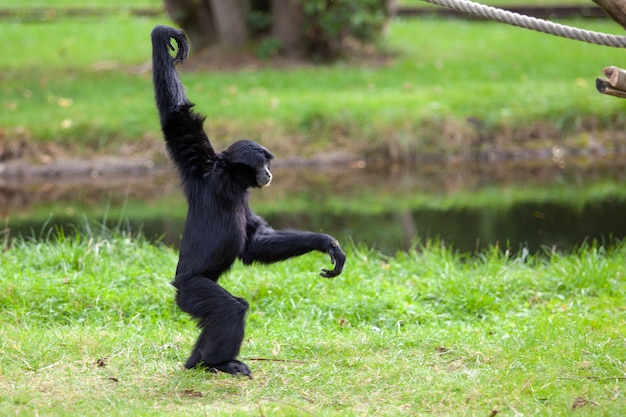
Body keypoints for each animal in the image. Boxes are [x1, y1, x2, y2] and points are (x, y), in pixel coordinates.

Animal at [151, 26, 346, 376]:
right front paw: (164, 36)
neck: (228, 180)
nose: (269, 173)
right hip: (192, 288)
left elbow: (252, 243)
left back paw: (198, 361)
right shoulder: (199, 165)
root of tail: (178, 285)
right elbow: (175, 115)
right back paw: (217, 361)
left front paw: (325, 243)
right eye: (263, 164)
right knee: (230, 308)